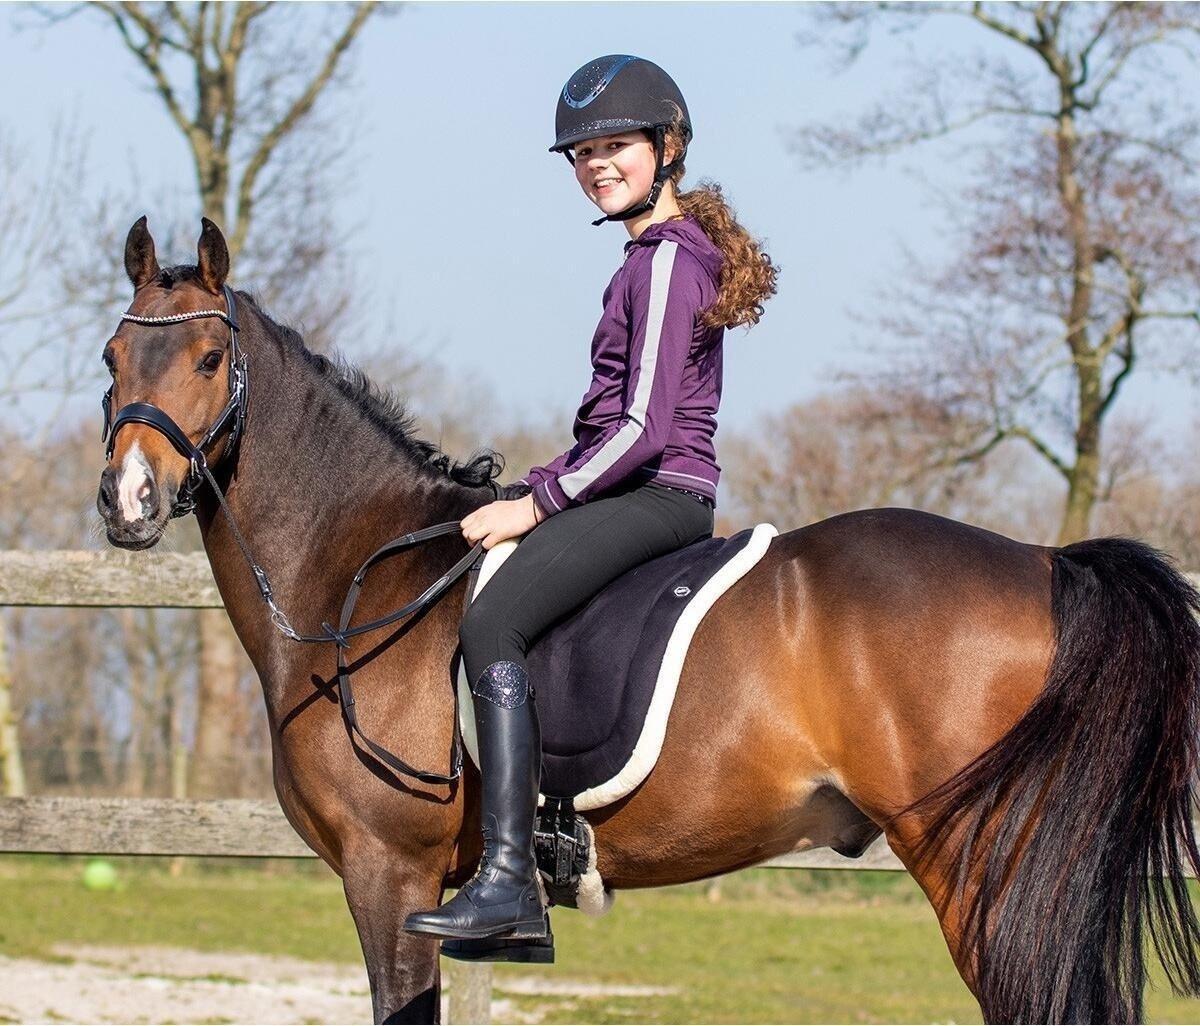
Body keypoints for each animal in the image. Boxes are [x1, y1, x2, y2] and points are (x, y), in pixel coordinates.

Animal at [96, 217, 1200, 1024]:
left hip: (988, 872)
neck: (361, 580)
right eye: (112, 356)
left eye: (209, 357)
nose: (128, 500)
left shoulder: (389, 876)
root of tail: (1049, 564)